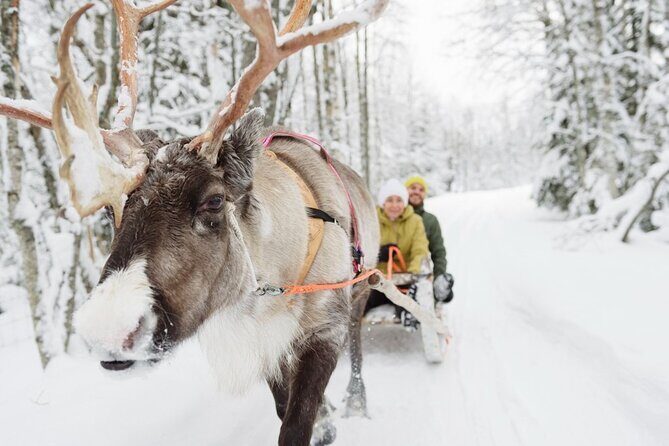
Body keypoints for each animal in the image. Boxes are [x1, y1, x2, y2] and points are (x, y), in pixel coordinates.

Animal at [0, 1, 389, 444]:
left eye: (215, 201)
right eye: (110, 210)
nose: (110, 330)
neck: (273, 285)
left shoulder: (326, 326)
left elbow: (296, 422)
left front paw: (324, 422)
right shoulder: (263, 343)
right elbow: (282, 404)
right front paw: (326, 419)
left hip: (362, 289)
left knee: (358, 343)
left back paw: (356, 399)